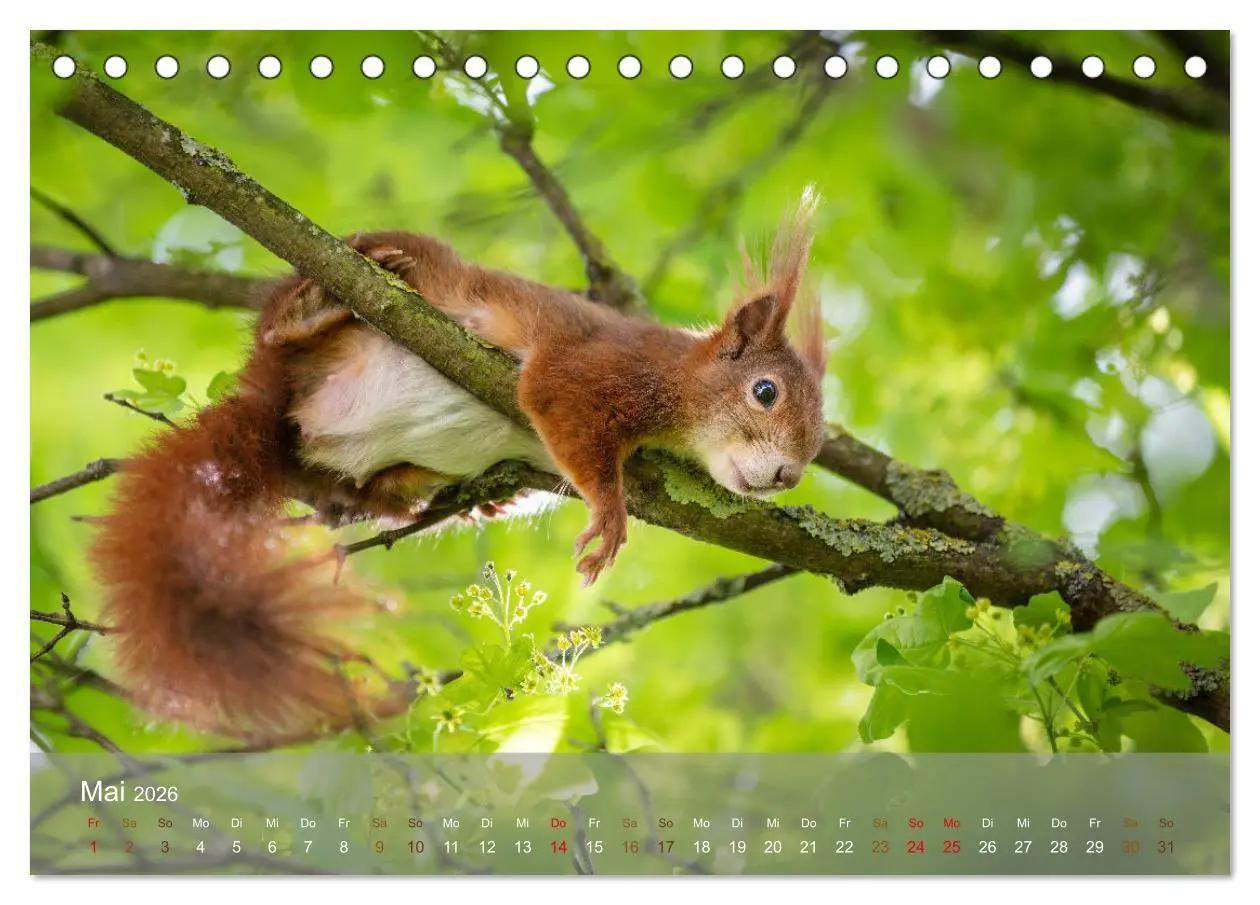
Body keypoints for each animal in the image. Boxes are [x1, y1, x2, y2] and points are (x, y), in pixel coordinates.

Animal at [88, 198, 826, 741]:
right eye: (765, 392)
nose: (787, 477)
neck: (680, 378)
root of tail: (276, 404)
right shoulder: (602, 364)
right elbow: (557, 400)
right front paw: (610, 509)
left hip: (354, 470)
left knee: (362, 492)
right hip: (373, 281)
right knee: (281, 326)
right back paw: (309, 310)